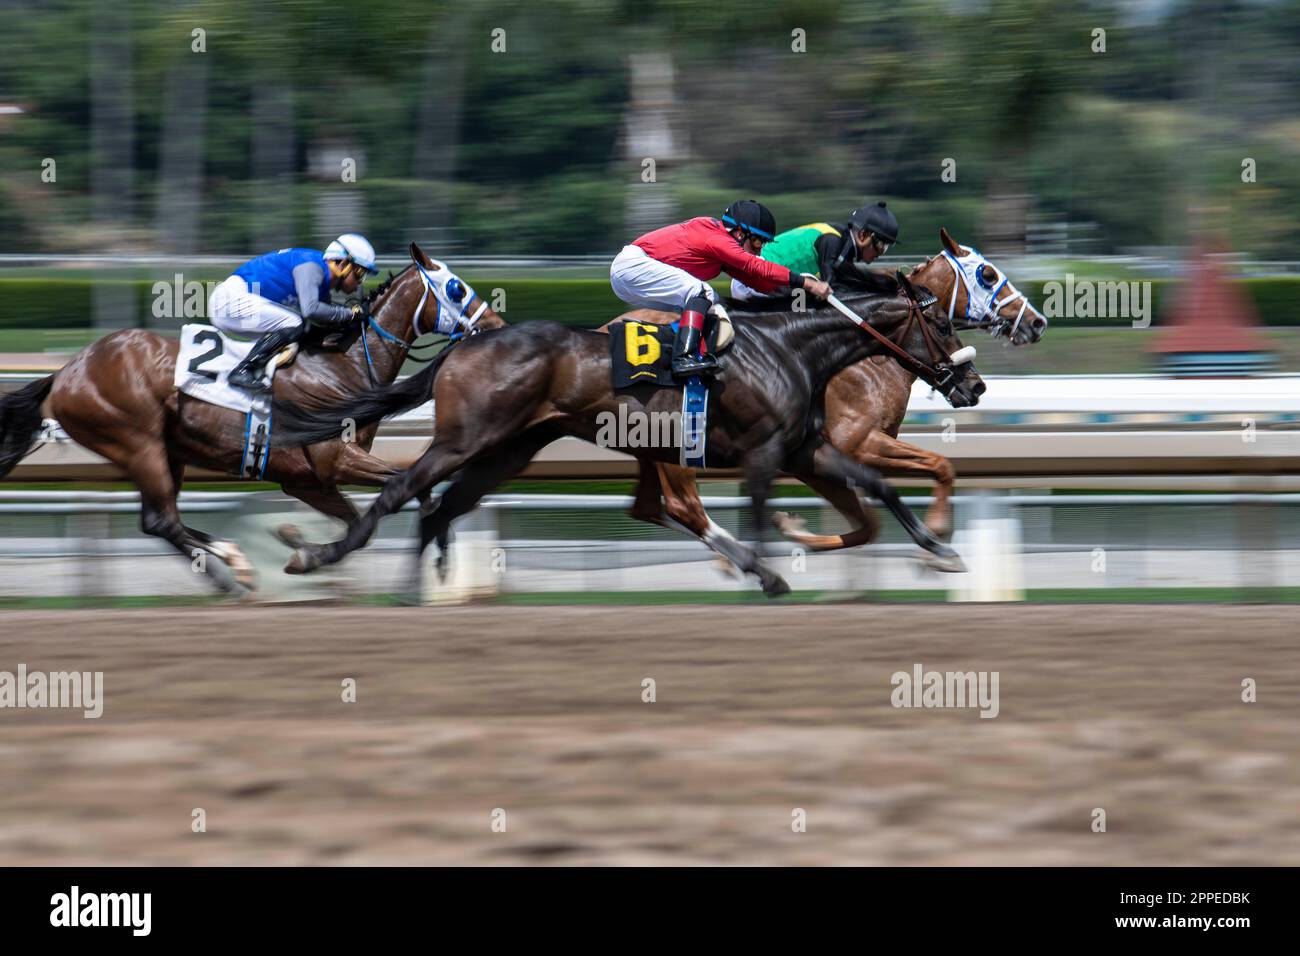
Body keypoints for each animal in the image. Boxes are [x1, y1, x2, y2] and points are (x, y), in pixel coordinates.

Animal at [0, 240, 499, 590]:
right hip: (138, 443)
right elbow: (405, 486)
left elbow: (372, 513)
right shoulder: (334, 459)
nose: (494, 326)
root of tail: (67, 371)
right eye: (456, 288)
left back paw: (230, 564)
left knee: (158, 520)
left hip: (166, 452)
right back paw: (233, 569)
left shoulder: (308, 480)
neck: (343, 364)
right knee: (162, 520)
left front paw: (303, 548)